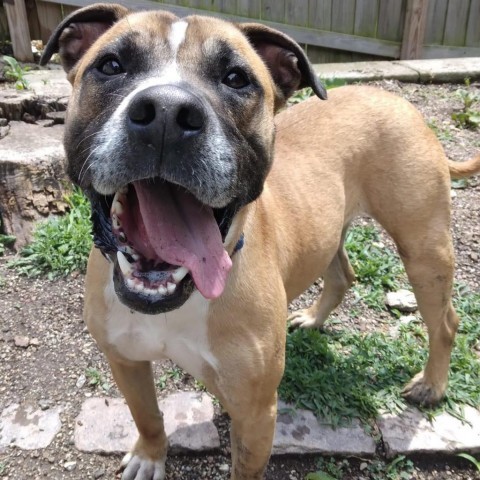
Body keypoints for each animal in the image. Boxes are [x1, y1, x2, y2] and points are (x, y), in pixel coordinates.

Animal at [41, 4, 480, 480]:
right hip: (331, 228)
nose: (167, 112)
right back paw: (313, 317)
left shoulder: (255, 412)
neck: (179, 298)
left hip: (424, 249)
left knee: (445, 322)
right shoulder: (125, 360)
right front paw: (149, 454)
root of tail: (395, 98)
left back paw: (431, 385)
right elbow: (147, 415)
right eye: (111, 65)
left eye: (236, 78)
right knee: (342, 274)